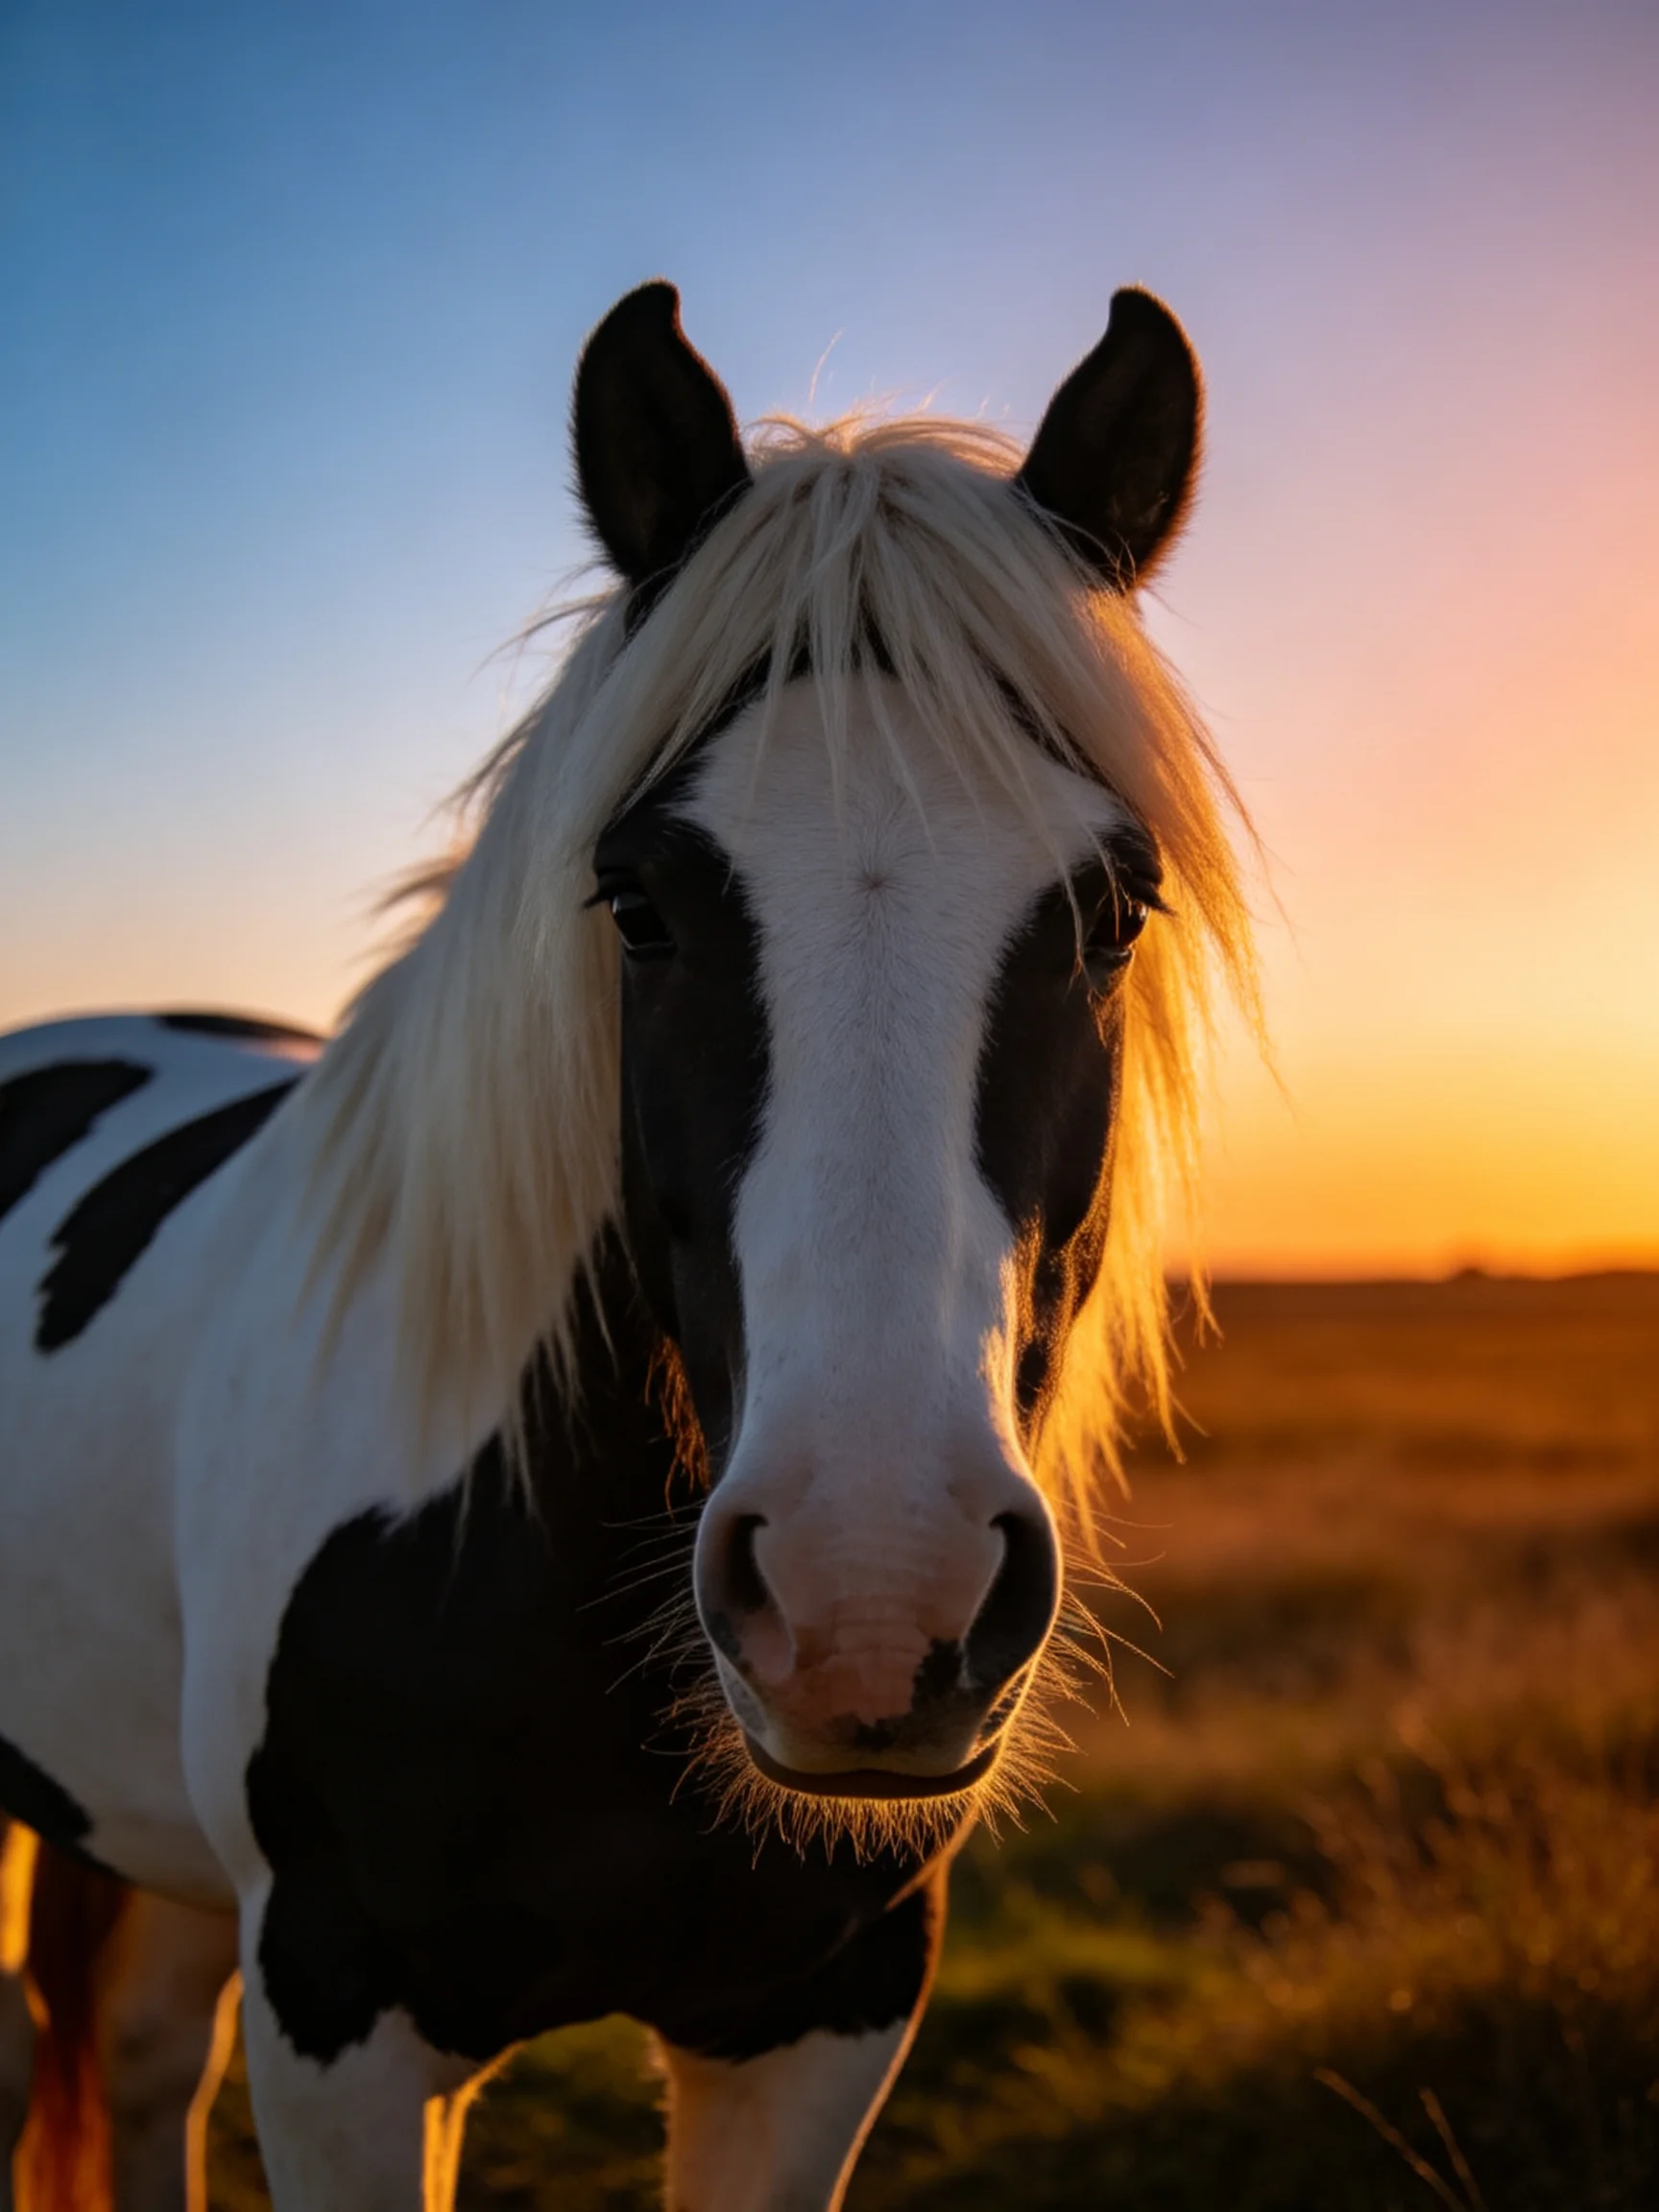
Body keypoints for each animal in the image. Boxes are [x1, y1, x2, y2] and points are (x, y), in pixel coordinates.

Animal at [0, 279, 1253, 2211]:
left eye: (1114, 908)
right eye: (640, 903)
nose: (866, 1602)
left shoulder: (820, 2019)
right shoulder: (337, 2020)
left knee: (138, 2067)